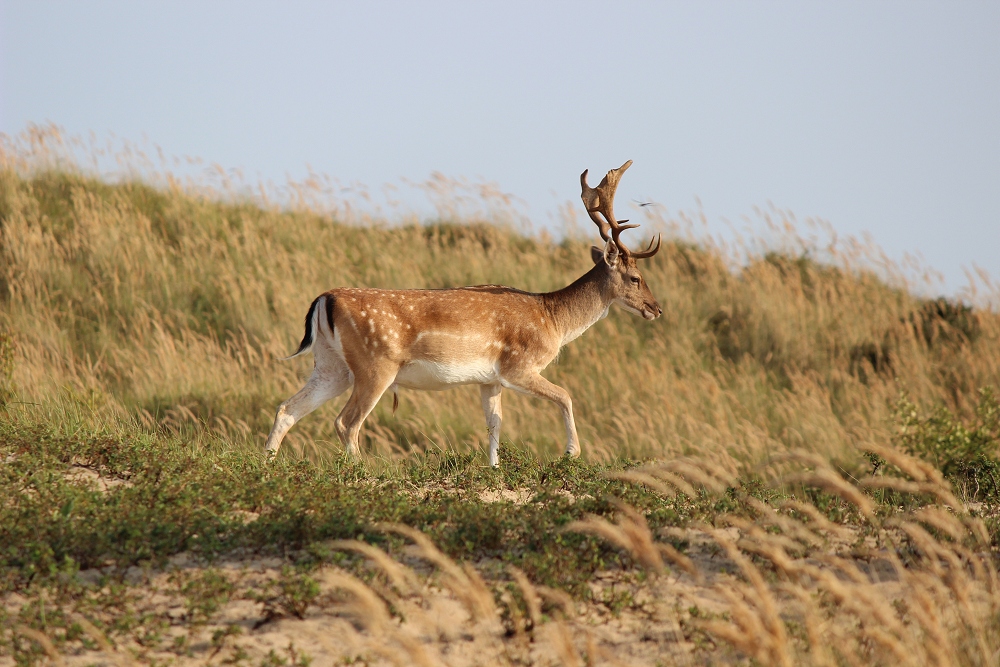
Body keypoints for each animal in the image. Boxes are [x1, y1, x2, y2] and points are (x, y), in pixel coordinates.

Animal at [262, 159, 660, 468]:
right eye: (635, 277)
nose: (655, 308)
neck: (553, 321)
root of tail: (324, 299)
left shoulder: (489, 379)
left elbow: (495, 423)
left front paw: (494, 470)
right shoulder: (519, 366)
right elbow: (565, 395)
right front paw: (571, 453)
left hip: (332, 365)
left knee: (287, 408)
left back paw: (268, 465)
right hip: (375, 364)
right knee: (346, 422)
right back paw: (363, 471)